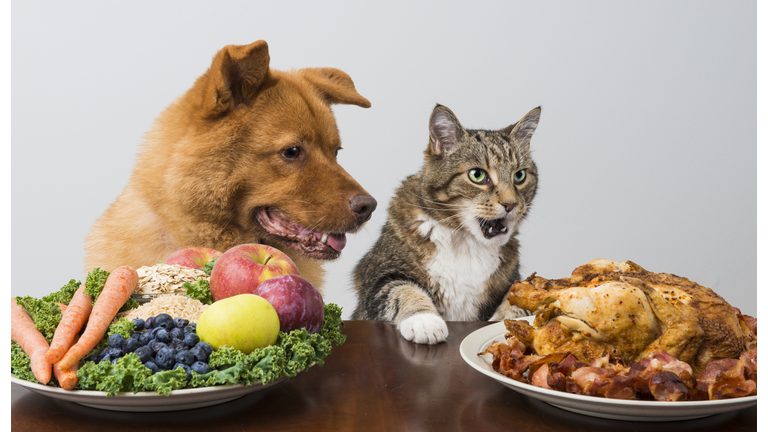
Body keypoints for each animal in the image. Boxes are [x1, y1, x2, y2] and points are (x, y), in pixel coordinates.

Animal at [350, 104, 540, 344]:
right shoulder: (379, 276)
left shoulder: (513, 280)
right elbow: (401, 290)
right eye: (477, 175)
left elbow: (521, 300)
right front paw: (425, 321)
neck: (466, 241)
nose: (511, 204)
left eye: (520, 175)